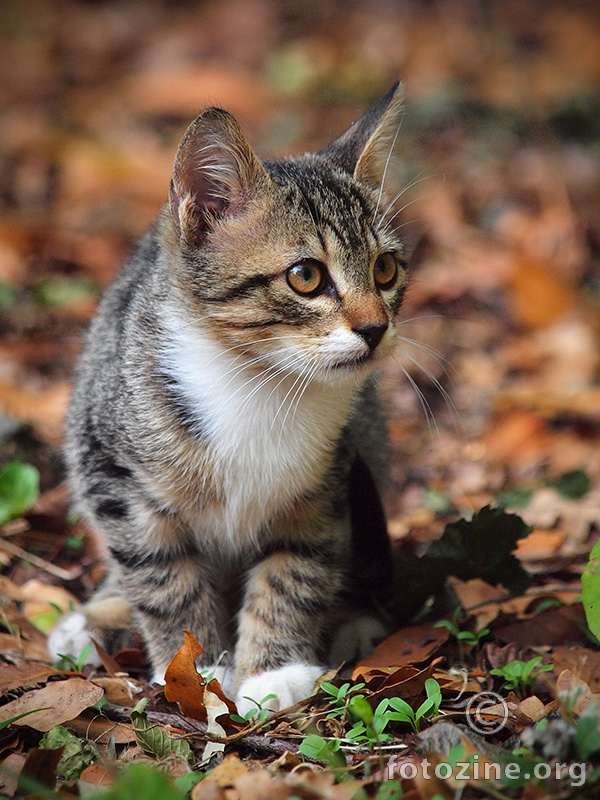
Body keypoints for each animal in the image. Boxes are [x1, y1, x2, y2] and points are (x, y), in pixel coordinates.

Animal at [49, 81, 408, 716]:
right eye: (306, 277)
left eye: (385, 268)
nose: (375, 328)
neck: (262, 381)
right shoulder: (110, 469)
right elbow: (160, 574)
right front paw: (196, 670)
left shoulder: (329, 479)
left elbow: (300, 564)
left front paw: (273, 670)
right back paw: (98, 616)